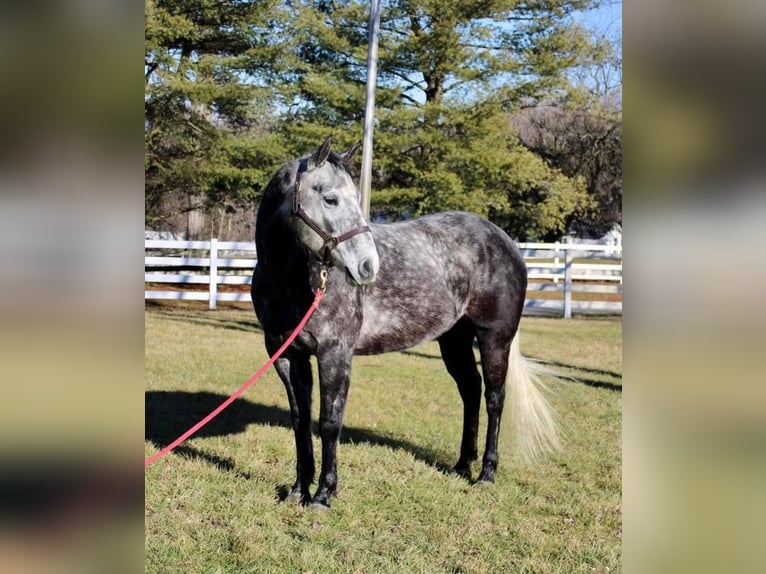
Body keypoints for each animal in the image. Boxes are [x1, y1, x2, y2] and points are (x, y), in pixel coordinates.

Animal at [251, 137, 559, 508]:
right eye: (330, 198)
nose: (368, 266)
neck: (290, 280)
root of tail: (507, 243)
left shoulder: (334, 353)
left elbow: (329, 422)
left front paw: (323, 495)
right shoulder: (286, 353)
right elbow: (300, 419)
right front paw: (299, 489)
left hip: (495, 339)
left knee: (494, 398)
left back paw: (486, 473)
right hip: (454, 340)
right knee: (470, 391)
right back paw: (462, 465)